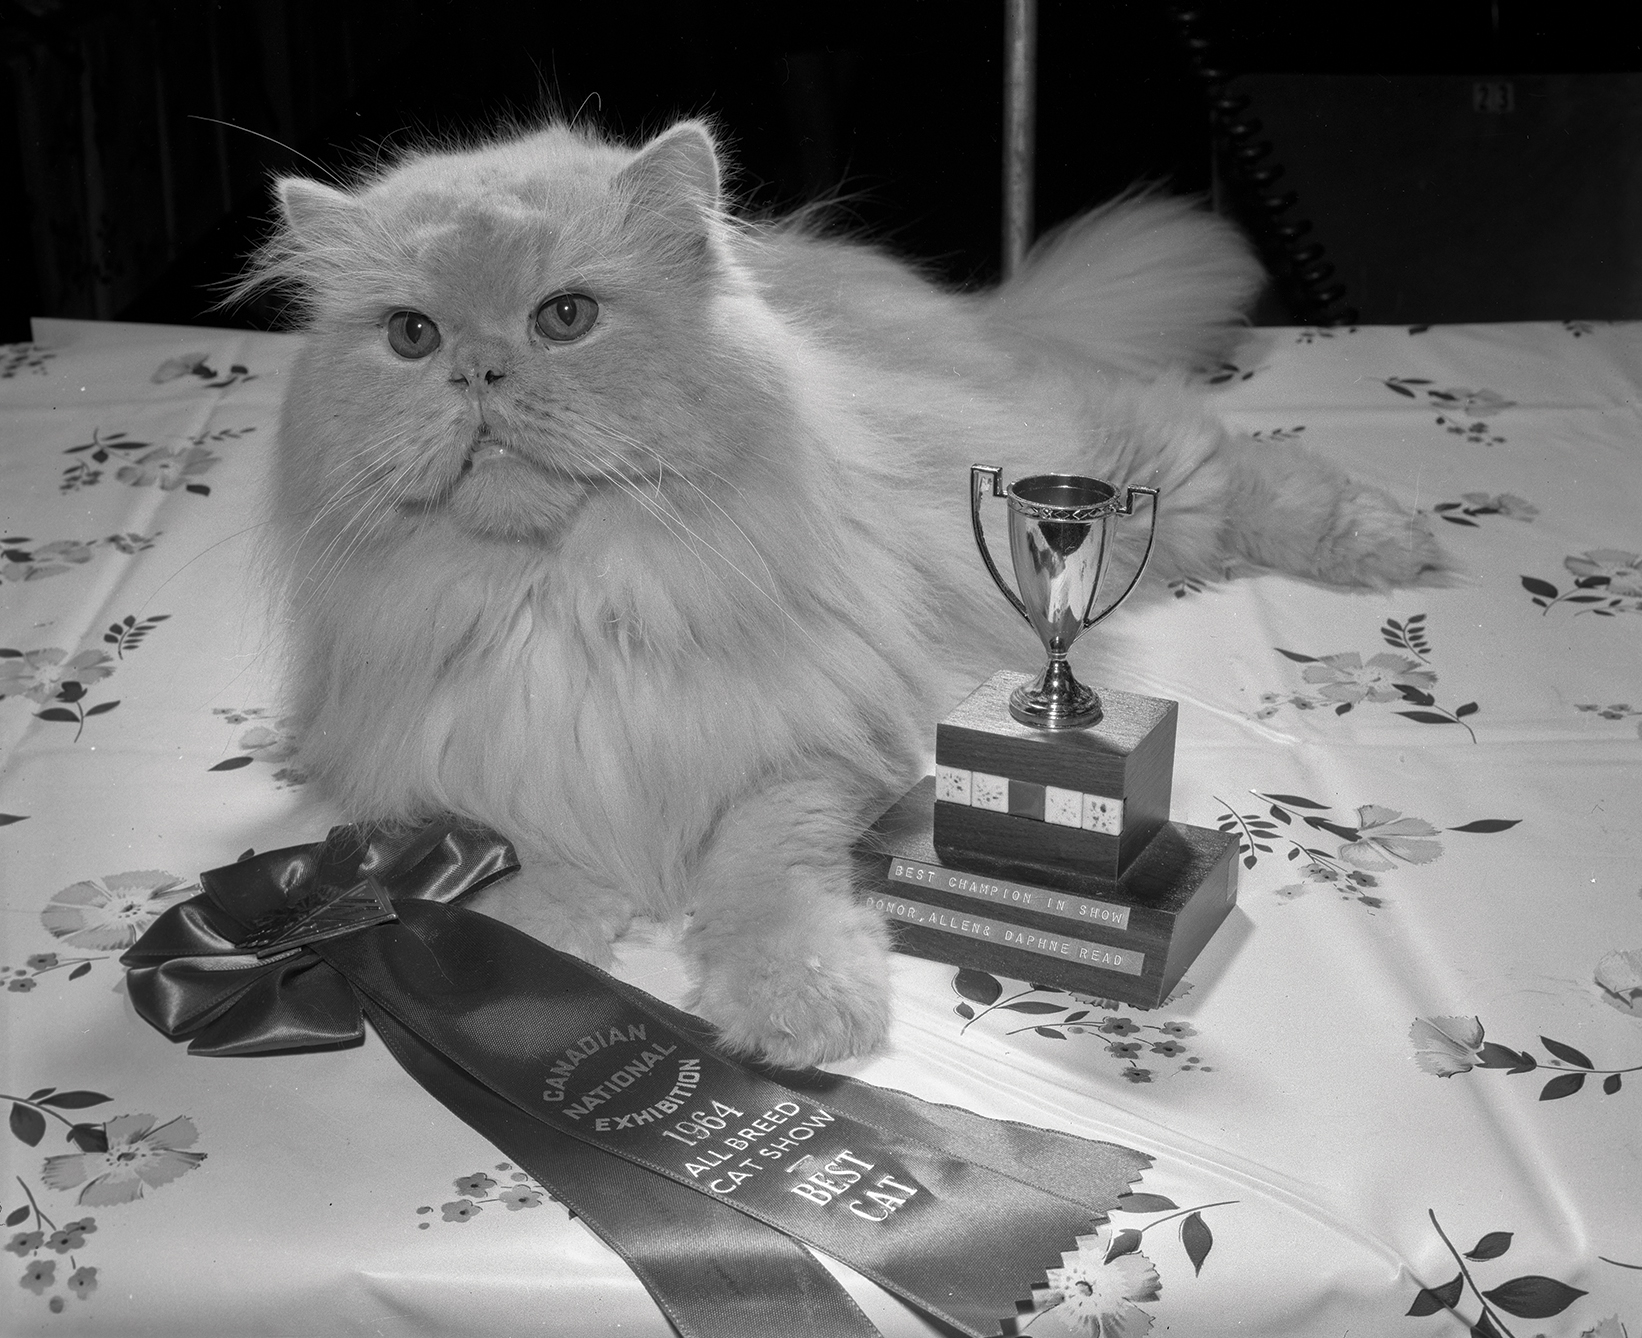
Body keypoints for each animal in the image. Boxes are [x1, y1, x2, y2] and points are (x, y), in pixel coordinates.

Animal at [249, 123, 1444, 1070]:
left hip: (1121, 491)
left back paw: (1391, 540)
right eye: (411, 336)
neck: (561, 593)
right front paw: (508, 953)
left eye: (565, 317)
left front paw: (802, 1004)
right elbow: (538, 881)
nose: (477, 372)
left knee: (1238, 462)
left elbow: (762, 881)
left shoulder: (803, 755)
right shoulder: (490, 774)